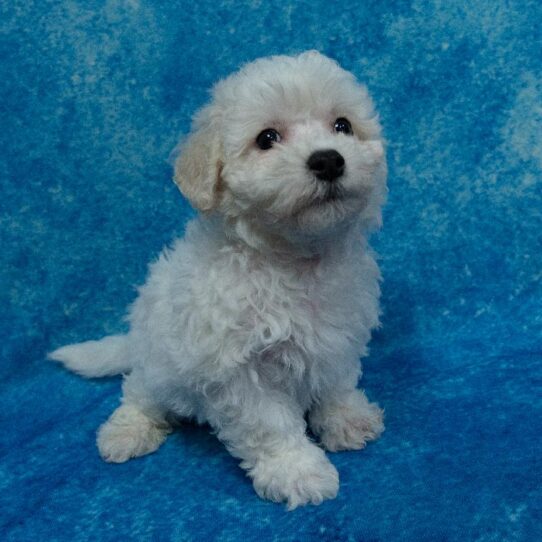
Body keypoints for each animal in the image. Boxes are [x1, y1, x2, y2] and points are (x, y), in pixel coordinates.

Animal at [49, 51, 388, 510]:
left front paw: (347, 419)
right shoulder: (235, 367)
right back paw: (128, 432)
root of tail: (135, 341)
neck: (292, 259)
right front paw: (297, 471)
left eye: (342, 125)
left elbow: (336, 383)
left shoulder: (339, 336)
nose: (329, 159)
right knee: (138, 393)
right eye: (267, 138)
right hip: (157, 363)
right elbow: (270, 425)